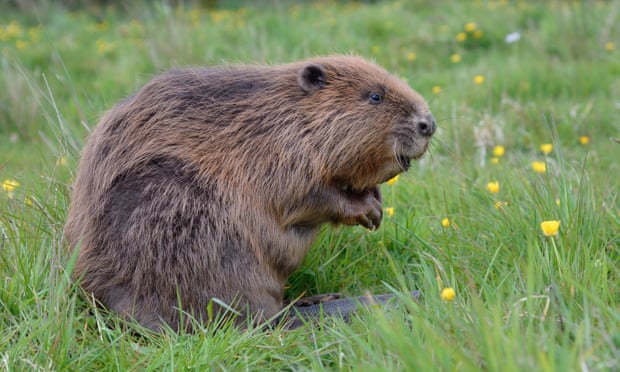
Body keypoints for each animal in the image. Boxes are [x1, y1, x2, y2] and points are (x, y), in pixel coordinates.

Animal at [64, 55, 436, 332]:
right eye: (375, 96)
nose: (428, 123)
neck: (282, 116)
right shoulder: (279, 153)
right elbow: (305, 197)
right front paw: (368, 213)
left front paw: (375, 200)